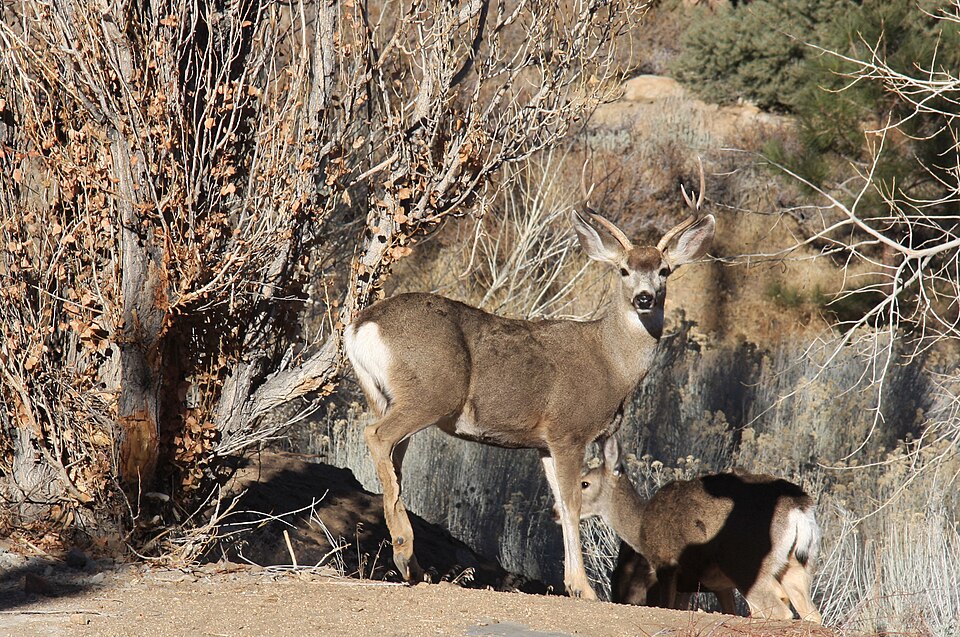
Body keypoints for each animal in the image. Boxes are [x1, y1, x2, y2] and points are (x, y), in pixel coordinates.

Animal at [344, 172, 715, 600]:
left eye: (665, 270)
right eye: (623, 269)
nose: (644, 297)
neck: (612, 365)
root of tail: (360, 327)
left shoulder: (545, 443)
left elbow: (561, 504)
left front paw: (572, 584)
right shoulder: (569, 429)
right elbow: (572, 504)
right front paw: (585, 589)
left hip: (385, 396)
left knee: (393, 457)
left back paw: (414, 567)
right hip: (431, 392)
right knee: (376, 436)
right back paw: (404, 550)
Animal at [579, 437, 822, 622]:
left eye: (585, 483)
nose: (565, 511)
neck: (640, 525)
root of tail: (799, 508)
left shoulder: (667, 565)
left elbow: (667, 606)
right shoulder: (710, 585)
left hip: (746, 565)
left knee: (780, 610)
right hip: (798, 566)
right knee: (811, 613)